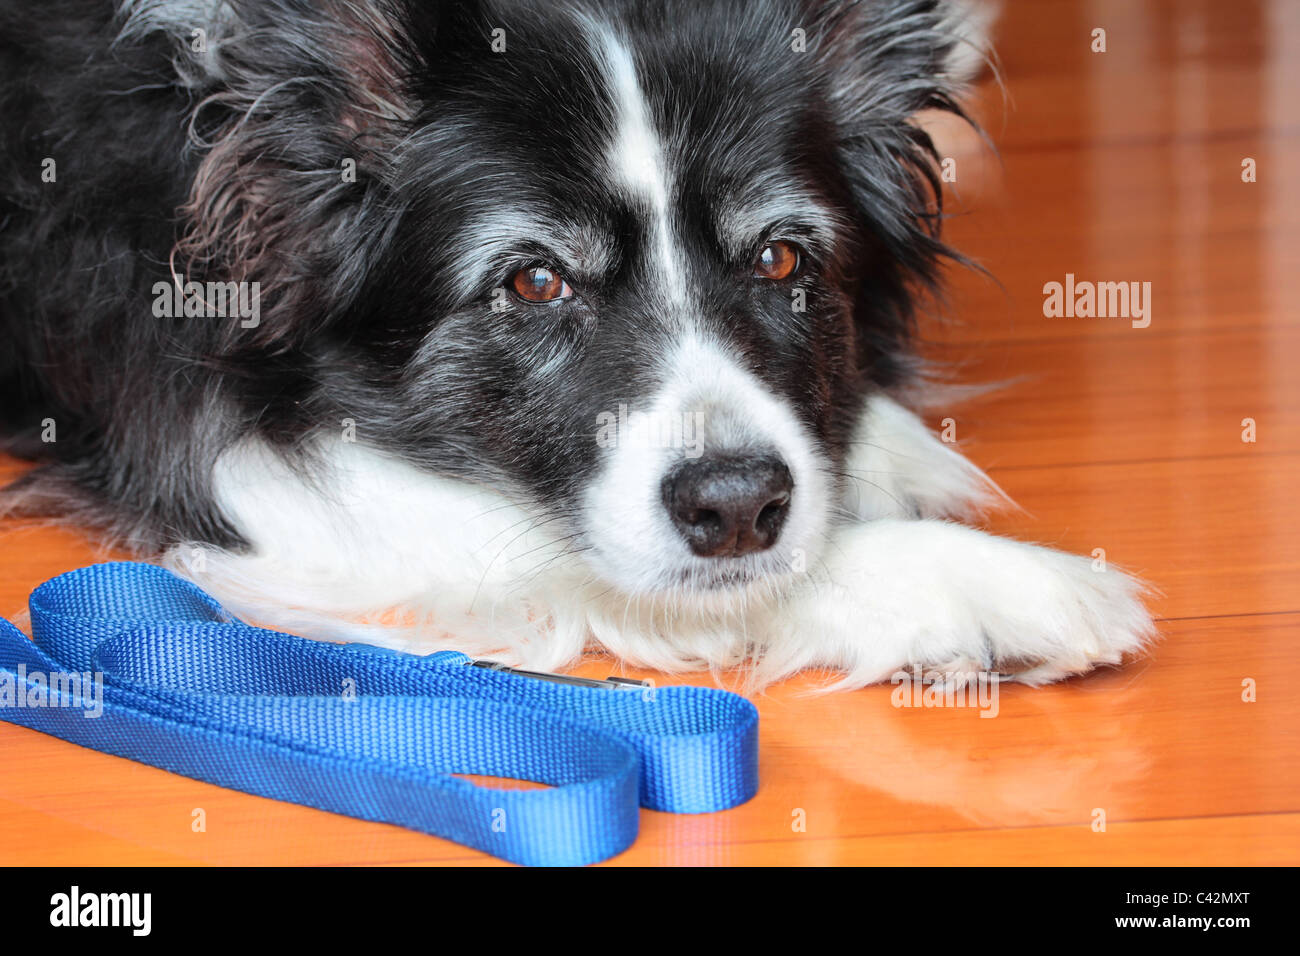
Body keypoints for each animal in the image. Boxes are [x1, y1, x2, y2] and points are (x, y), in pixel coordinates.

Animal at [2, 0, 1159, 686]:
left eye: (781, 259)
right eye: (534, 280)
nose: (738, 504)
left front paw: (891, 457)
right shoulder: (223, 451)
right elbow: (595, 563)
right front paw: (983, 588)